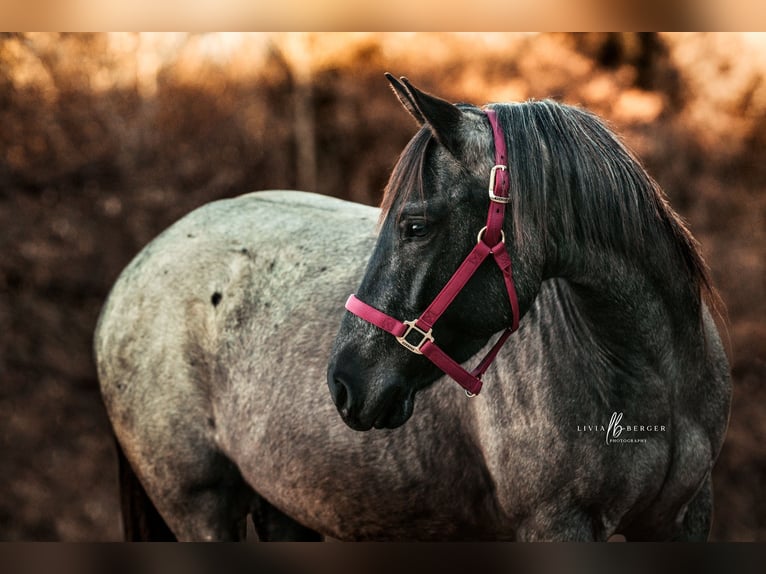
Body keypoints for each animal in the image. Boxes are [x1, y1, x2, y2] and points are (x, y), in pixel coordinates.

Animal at [94, 75, 730, 541]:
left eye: (414, 225)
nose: (344, 381)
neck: (651, 377)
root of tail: (134, 271)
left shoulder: (685, 519)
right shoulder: (557, 523)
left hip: (283, 507)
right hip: (201, 507)